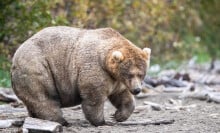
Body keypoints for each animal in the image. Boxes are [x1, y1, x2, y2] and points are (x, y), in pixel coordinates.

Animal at [10, 26, 151, 126]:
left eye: (141, 74)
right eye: (130, 74)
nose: (137, 90)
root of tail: (15, 56)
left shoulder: (116, 80)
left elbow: (122, 95)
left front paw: (119, 115)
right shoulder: (95, 68)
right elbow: (94, 97)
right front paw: (101, 121)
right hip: (37, 67)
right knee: (44, 97)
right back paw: (61, 120)